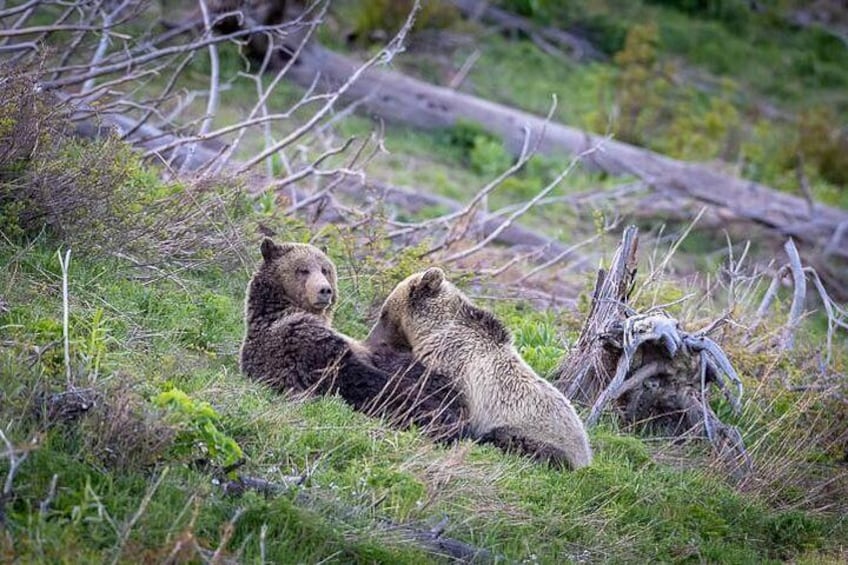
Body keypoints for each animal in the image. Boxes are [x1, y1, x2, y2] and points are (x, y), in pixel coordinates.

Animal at [239, 239, 466, 440]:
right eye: (302, 269)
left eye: (325, 269)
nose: (325, 290)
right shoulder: (302, 342)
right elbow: (363, 380)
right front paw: (445, 418)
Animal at [365, 267, 593, 469]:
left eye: (384, 313)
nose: (370, 339)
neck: (431, 331)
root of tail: (586, 456)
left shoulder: (455, 365)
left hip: (535, 433)